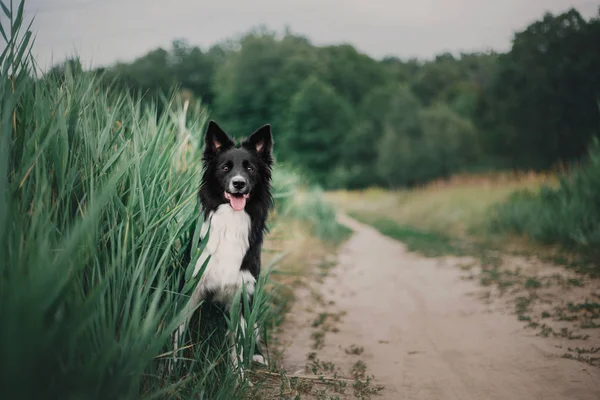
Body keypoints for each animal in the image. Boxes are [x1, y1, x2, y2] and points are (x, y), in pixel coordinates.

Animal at [173, 120, 274, 380]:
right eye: (225, 167)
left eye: (250, 169)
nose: (239, 183)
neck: (231, 222)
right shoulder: (192, 286)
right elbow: (177, 330)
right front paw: (172, 369)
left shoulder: (242, 292)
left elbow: (236, 341)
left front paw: (238, 377)